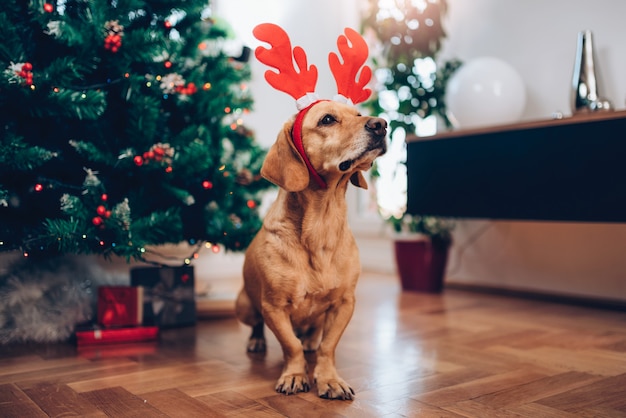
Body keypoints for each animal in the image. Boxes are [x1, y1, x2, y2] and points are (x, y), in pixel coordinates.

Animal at [235, 99, 386, 400]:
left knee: (313, 335)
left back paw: (311, 340)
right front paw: (295, 375)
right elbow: (290, 345)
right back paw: (257, 340)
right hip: (245, 305)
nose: (382, 124)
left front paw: (329, 379)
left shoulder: (344, 303)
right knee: (258, 324)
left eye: (358, 114)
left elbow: (328, 347)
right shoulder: (273, 307)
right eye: (327, 119)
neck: (321, 226)